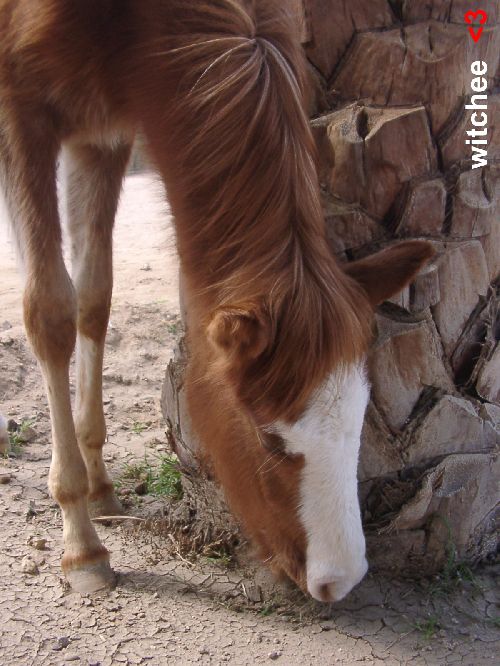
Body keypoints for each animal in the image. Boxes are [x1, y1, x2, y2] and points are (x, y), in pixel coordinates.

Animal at [0, 0, 434, 600]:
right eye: (269, 440)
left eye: (363, 416)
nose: (339, 581)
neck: (130, 23)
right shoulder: (22, 114)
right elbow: (50, 314)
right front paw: (81, 543)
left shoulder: (101, 135)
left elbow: (94, 298)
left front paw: (99, 486)